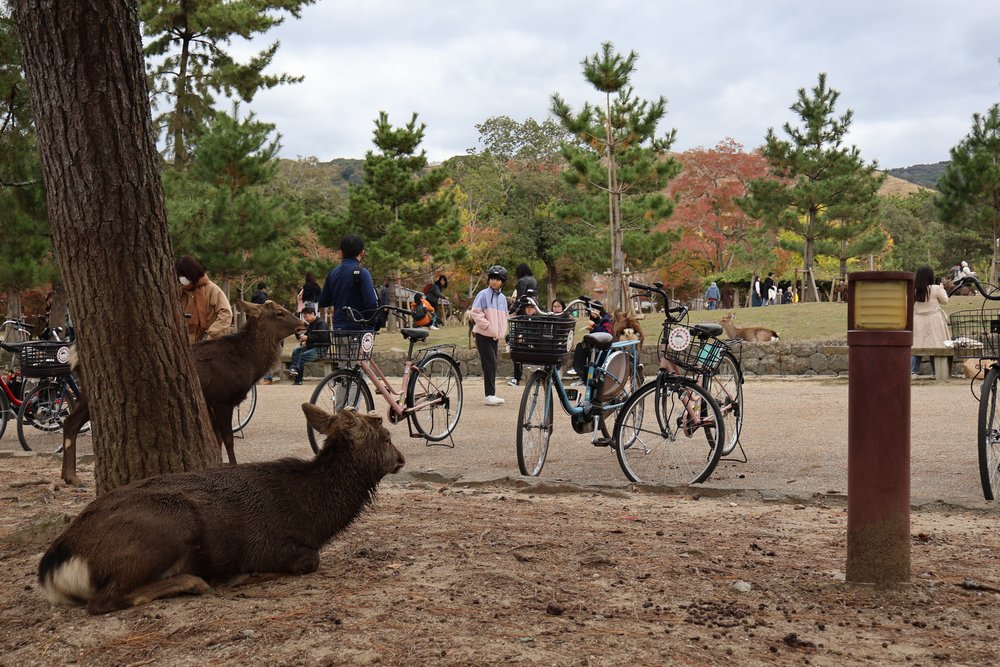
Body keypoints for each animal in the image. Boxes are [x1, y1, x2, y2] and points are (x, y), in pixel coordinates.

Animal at [39, 405, 404, 615]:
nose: (401, 458)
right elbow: (308, 560)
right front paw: (245, 575)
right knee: (103, 601)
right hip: (166, 528)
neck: (313, 518)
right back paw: (194, 582)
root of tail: (55, 563)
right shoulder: (266, 544)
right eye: (387, 437)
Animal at [59, 300, 305, 486]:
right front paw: (233, 466)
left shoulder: (210, 403)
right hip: (91, 393)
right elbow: (227, 439)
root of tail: (75, 355)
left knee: (70, 422)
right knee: (71, 421)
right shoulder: (222, 398)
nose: (303, 323)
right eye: (279, 313)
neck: (247, 365)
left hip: (88, 394)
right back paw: (72, 476)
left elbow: (216, 439)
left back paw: (69, 478)